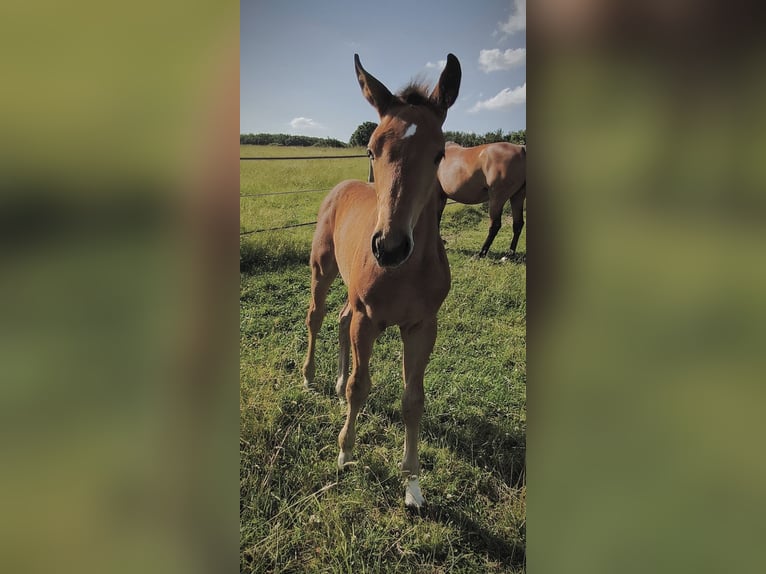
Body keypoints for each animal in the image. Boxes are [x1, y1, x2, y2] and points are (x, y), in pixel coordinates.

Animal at [304, 54, 462, 510]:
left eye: (439, 154)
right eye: (372, 149)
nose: (389, 247)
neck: (403, 272)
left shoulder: (422, 326)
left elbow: (413, 400)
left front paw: (412, 484)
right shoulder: (368, 318)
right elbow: (361, 387)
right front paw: (345, 453)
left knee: (339, 319)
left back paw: (335, 380)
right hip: (323, 271)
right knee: (318, 317)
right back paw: (309, 376)